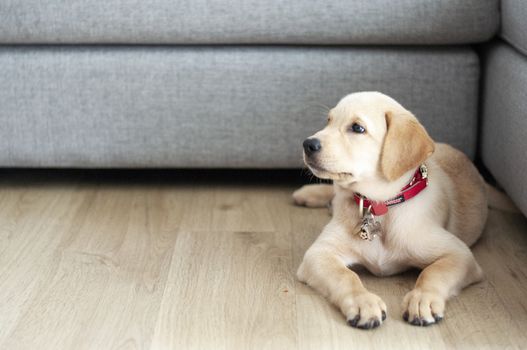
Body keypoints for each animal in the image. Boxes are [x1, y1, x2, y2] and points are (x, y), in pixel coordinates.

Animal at [292, 91, 486, 330]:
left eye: (357, 128)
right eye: (328, 121)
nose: (307, 143)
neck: (378, 206)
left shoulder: (460, 255)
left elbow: (433, 273)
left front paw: (422, 299)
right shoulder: (319, 254)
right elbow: (345, 276)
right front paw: (362, 302)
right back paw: (308, 193)